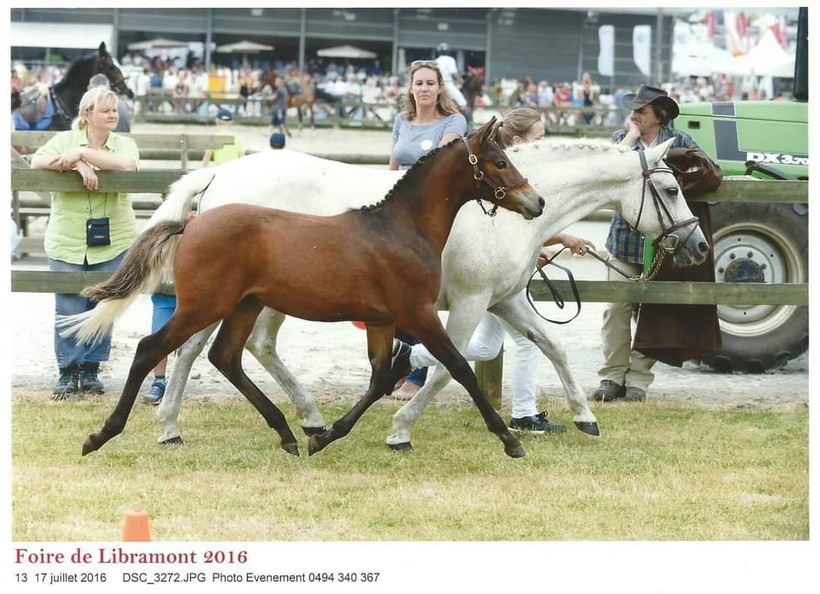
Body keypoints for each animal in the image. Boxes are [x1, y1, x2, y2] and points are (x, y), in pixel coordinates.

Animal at [146, 136, 704, 446]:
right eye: (671, 189)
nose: (697, 245)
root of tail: (217, 175)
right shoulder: (469, 304)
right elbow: (445, 368)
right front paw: (401, 430)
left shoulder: (505, 300)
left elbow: (554, 347)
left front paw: (585, 418)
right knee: (206, 348)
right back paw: (181, 425)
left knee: (223, 348)